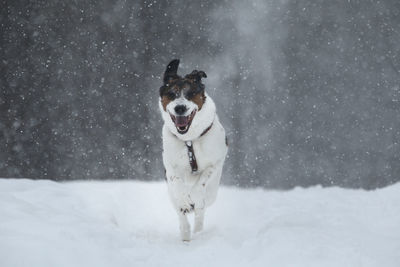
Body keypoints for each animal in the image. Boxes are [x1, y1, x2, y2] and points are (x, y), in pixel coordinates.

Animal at [159, 59, 228, 242]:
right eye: (172, 94)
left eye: (190, 93)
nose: (180, 108)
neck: (189, 139)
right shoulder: (170, 165)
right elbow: (177, 182)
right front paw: (184, 200)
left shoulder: (215, 162)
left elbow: (202, 181)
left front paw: (194, 195)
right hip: (170, 195)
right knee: (181, 213)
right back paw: (185, 234)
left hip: (212, 193)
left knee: (201, 210)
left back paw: (198, 230)